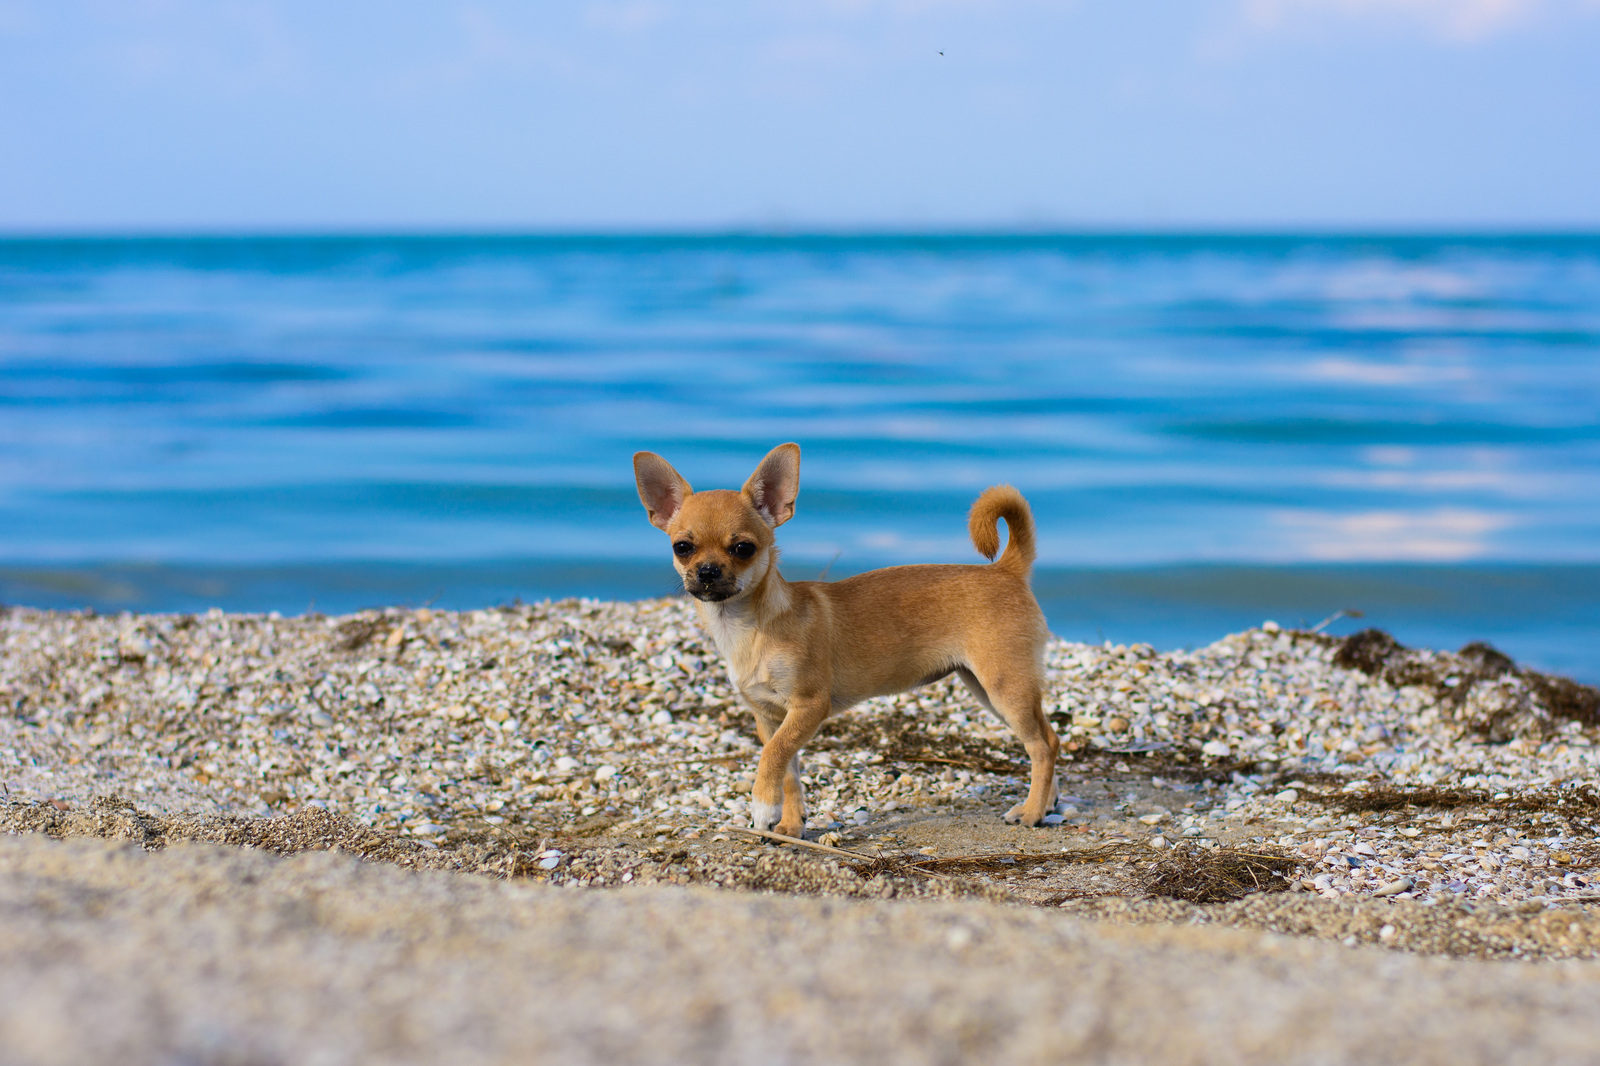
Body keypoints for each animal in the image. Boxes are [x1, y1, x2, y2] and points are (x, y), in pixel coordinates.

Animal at [630, 435, 1056, 832]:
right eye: (682, 547)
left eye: (743, 548)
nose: (706, 572)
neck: (748, 627)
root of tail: (1005, 569)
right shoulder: (770, 717)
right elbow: (789, 771)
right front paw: (791, 824)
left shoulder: (808, 707)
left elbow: (772, 757)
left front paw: (763, 806)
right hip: (985, 688)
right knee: (1049, 735)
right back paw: (1048, 802)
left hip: (1005, 687)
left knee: (1042, 744)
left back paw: (1032, 812)